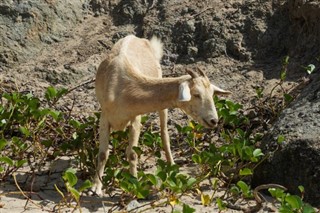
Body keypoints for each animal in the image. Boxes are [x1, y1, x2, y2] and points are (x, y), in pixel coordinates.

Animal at [91, 34, 231, 195]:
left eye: (212, 93)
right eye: (196, 94)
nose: (214, 120)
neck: (121, 87)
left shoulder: (135, 118)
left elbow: (132, 153)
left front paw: (134, 185)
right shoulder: (104, 117)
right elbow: (103, 154)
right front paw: (95, 188)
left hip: (162, 105)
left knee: (164, 134)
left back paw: (172, 166)